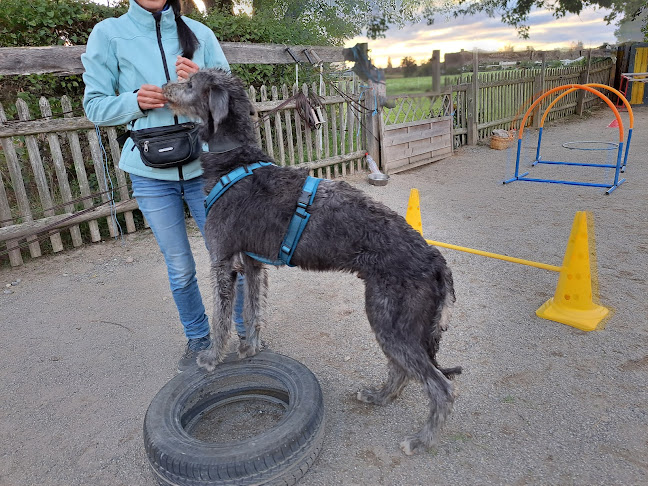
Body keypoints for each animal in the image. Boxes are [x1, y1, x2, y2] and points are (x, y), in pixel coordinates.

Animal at [162, 68, 460, 456]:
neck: (236, 163)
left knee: (440, 386)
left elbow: (222, 317)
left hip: (391, 319)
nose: (161, 88)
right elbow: (254, 311)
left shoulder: (221, 261)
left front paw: (212, 358)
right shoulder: (253, 266)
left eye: (189, 83)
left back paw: (421, 440)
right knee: (403, 370)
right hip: (391, 320)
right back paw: (379, 397)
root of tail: (437, 261)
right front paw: (250, 349)